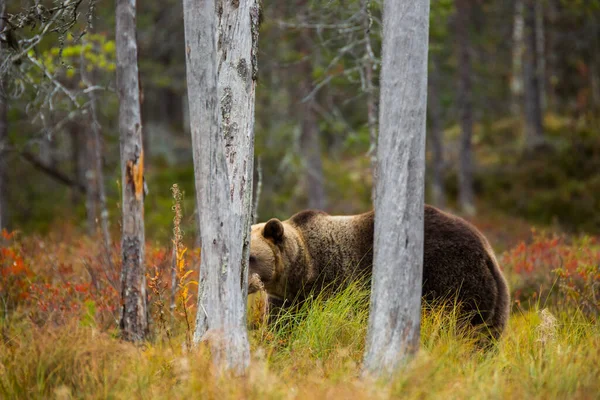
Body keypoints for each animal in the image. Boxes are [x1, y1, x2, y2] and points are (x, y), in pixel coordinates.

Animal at [246, 205, 508, 340]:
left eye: (251, 257)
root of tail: (486, 250)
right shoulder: (287, 299)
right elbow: (282, 324)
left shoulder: (336, 282)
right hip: (496, 297)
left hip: (451, 276)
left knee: (459, 321)